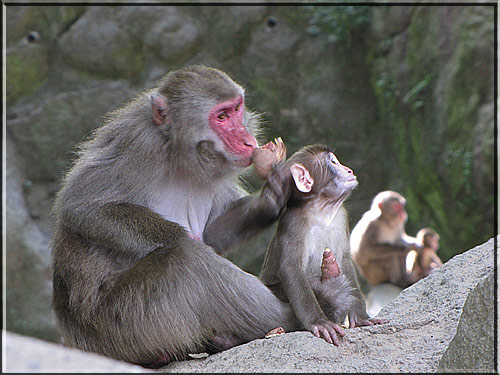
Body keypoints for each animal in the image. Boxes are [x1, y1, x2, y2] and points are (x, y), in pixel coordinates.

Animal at [52, 66, 300, 368]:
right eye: (221, 117)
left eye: (236, 109)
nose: (248, 141)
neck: (181, 156)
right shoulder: (136, 144)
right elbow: (81, 207)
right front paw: (184, 236)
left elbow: (214, 233)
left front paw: (272, 196)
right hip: (123, 322)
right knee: (188, 261)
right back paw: (293, 318)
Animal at [260, 144, 388, 346]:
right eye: (333, 162)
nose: (349, 170)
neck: (322, 211)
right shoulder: (294, 222)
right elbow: (290, 268)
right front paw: (319, 322)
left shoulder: (341, 217)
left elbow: (345, 260)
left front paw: (361, 318)